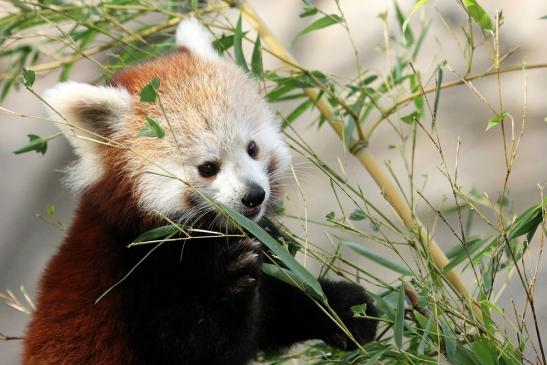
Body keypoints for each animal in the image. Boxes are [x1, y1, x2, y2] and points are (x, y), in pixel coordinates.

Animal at [23, 17, 378, 364]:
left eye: (252, 148)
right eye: (207, 168)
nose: (254, 196)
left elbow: (278, 311)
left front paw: (347, 309)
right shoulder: (140, 276)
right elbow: (200, 344)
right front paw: (231, 282)